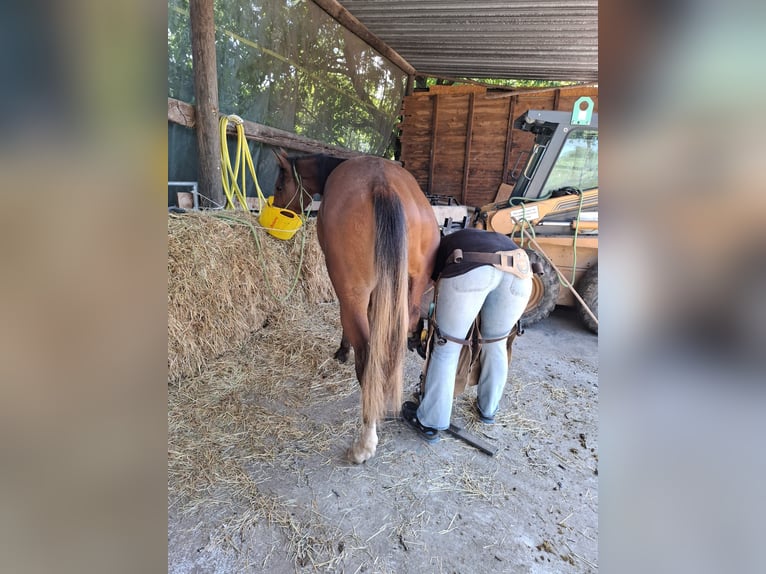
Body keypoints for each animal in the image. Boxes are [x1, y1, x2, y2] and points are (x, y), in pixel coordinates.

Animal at [272, 150, 440, 463]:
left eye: (278, 186)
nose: (277, 210)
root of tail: (382, 185)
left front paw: (341, 351)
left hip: (354, 294)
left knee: (366, 358)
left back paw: (365, 443)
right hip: (411, 290)